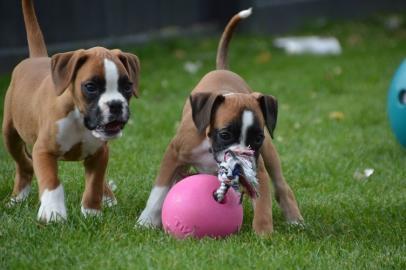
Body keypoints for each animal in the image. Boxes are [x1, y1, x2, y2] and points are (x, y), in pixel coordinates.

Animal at [2, 0, 140, 223]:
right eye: (90, 87)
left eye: (127, 86)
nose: (116, 105)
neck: (79, 118)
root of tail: (37, 57)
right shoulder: (43, 151)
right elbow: (52, 183)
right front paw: (53, 214)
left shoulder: (99, 153)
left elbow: (94, 184)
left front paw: (92, 213)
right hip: (10, 134)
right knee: (24, 164)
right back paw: (18, 198)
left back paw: (108, 197)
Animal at [138, 6, 302, 234]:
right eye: (225, 134)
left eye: (257, 138)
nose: (240, 163)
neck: (209, 145)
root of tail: (222, 69)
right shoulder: (173, 155)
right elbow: (159, 191)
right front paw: (146, 221)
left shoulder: (258, 166)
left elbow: (263, 202)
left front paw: (263, 234)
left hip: (269, 153)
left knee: (281, 186)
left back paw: (295, 220)